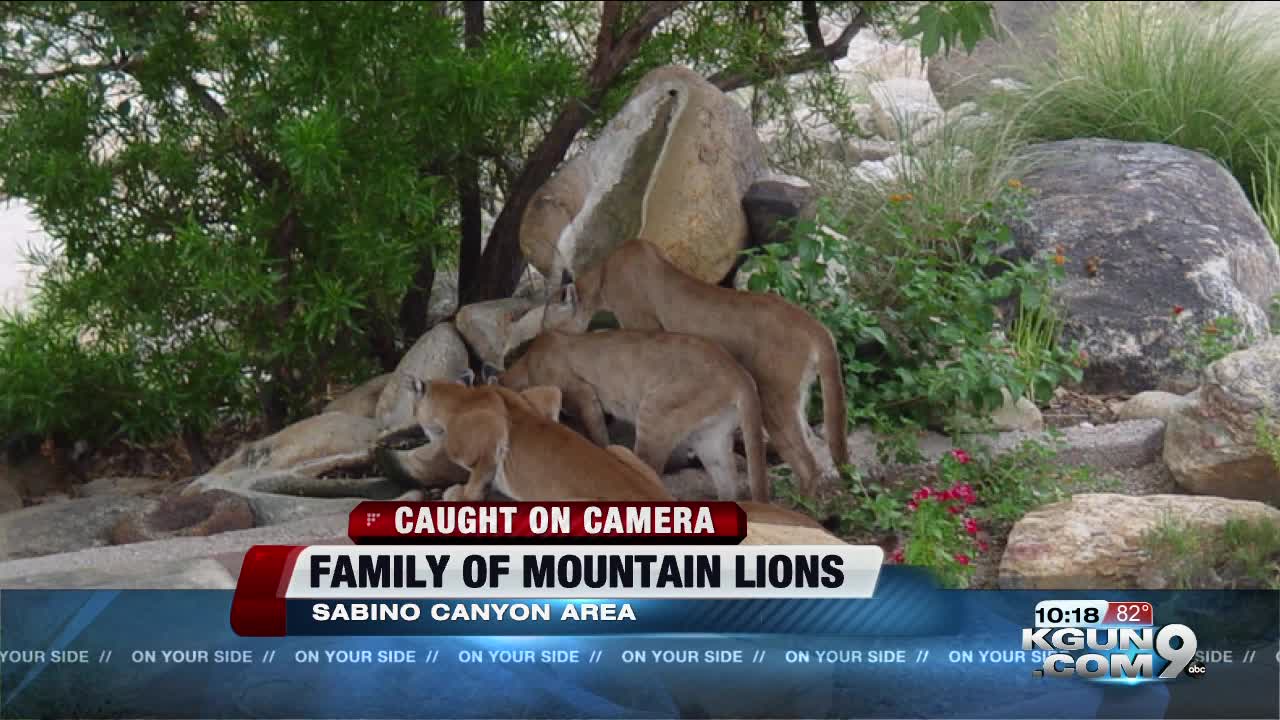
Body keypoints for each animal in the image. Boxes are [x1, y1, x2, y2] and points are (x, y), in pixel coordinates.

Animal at [494, 330, 762, 502]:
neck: (527, 361)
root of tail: (740, 372)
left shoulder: (584, 395)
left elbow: (597, 435)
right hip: (709, 440)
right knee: (729, 483)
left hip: (655, 414)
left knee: (649, 470)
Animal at [542, 238, 849, 497]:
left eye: (547, 325)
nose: (541, 337)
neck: (604, 273)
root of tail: (816, 325)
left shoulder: (640, 325)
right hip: (791, 402)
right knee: (815, 446)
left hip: (775, 401)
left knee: (808, 462)